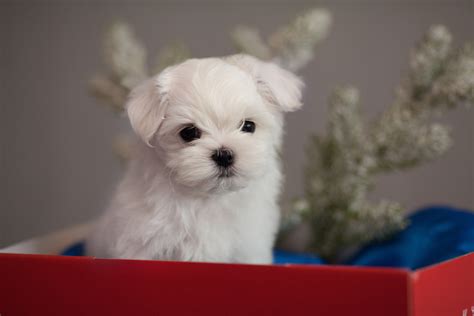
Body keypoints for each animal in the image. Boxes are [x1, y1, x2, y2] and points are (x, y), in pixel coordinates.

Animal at [86, 55, 304, 264]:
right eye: (189, 133)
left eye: (249, 126)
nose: (224, 154)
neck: (208, 199)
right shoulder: (139, 242)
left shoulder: (248, 248)